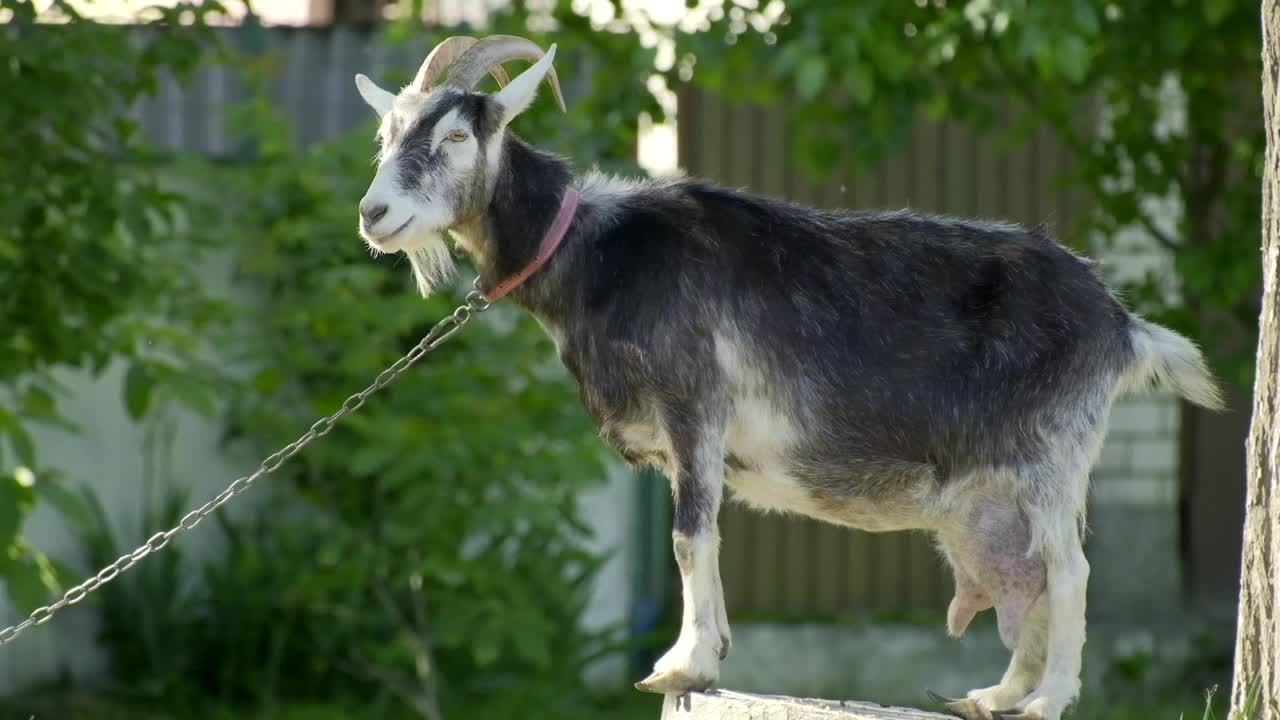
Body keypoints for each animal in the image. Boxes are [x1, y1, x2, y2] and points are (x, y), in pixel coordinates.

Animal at [350, 36, 1218, 717]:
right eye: (386, 133)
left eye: (457, 134)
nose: (374, 215)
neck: (599, 252)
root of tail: (1122, 324)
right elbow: (699, 538)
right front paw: (709, 653)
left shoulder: (694, 405)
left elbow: (690, 536)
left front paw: (682, 665)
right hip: (1001, 490)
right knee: (1029, 574)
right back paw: (996, 695)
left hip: (1051, 457)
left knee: (1069, 571)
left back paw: (1044, 700)